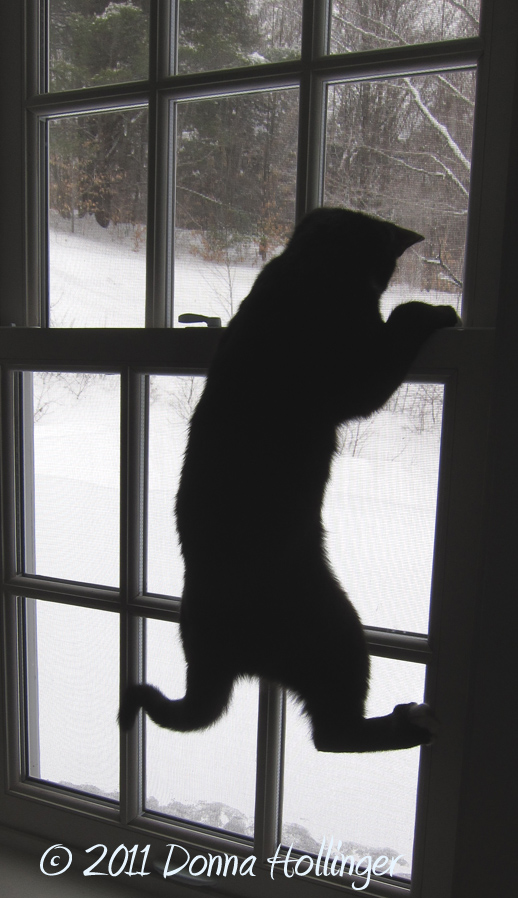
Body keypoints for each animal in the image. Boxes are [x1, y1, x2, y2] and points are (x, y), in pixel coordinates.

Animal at [120, 205, 462, 748]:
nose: (386, 279)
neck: (311, 266)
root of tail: (216, 661)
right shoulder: (355, 378)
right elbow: (398, 329)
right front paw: (430, 310)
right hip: (339, 632)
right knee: (333, 733)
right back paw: (413, 723)